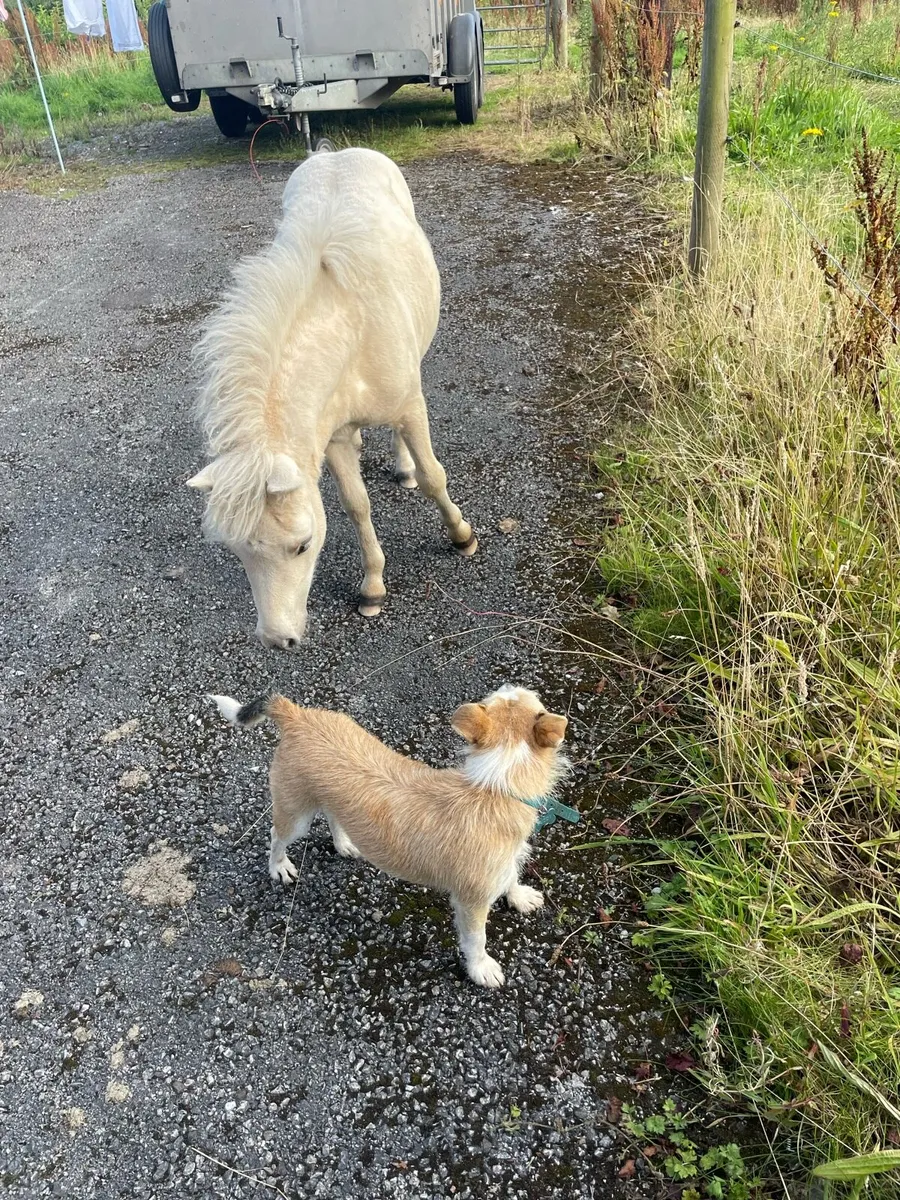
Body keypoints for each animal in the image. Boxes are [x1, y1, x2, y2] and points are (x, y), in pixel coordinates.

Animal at [187, 147, 477, 649]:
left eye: (302, 546)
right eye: (237, 551)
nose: (277, 639)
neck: (349, 328)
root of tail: (333, 152)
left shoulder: (410, 407)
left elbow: (434, 476)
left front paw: (461, 536)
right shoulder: (334, 436)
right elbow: (356, 505)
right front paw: (373, 587)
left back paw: (404, 469)